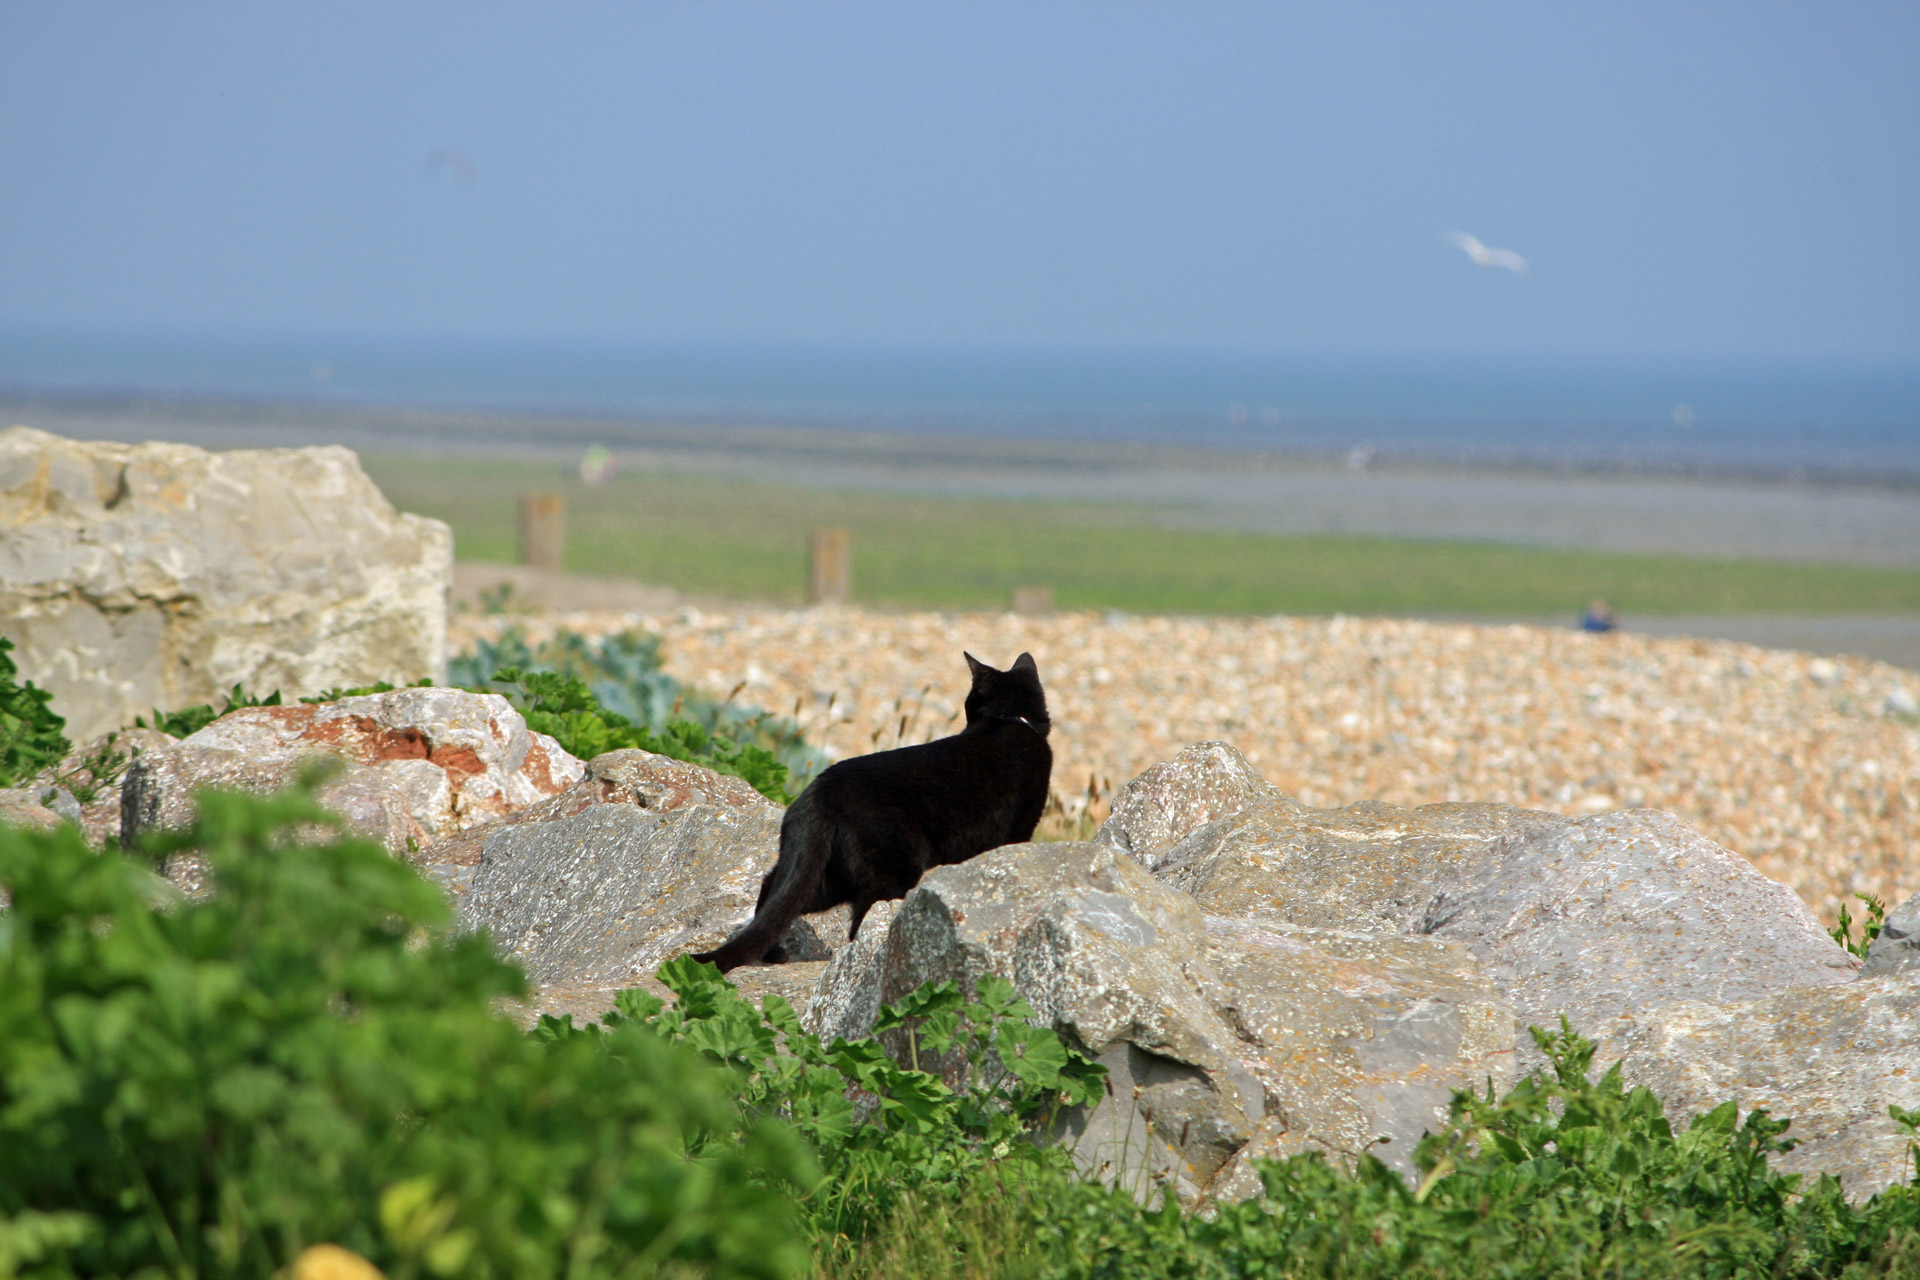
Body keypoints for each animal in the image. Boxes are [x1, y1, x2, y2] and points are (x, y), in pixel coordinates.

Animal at [691, 652, 1052, 971]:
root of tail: (821, 791)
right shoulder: (1020, 828)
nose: (965, 714)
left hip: (826, 876)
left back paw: (774, 954)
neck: (1009, 721)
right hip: (890, 872)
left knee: (774, 889)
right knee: (859, 925)